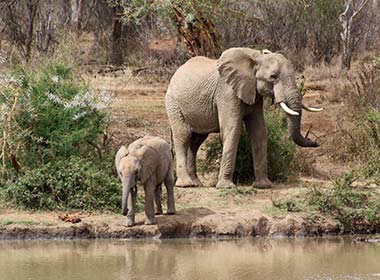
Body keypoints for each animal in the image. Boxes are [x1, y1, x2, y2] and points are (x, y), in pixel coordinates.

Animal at [165, 48, 322, 189]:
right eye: (273, 76)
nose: (316, 143)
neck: (256, 58)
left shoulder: (254, 94)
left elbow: (259, 131)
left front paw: (263, 186)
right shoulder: (227, 92)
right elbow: (233, 129)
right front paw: (226, 187)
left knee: (196, 141)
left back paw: (196, 183)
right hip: (173, 103)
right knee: (183, 137)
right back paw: (186, 184)